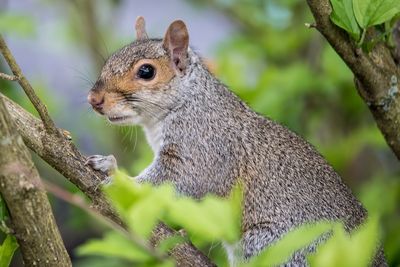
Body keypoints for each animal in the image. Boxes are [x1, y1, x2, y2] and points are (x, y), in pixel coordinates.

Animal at [85, 17, 388, 267]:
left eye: (146, 72)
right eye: (109, 60)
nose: (94, 99)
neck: (187, 102)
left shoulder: (203, 145)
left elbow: (171, 183)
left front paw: (115, 174)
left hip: (275, 247)